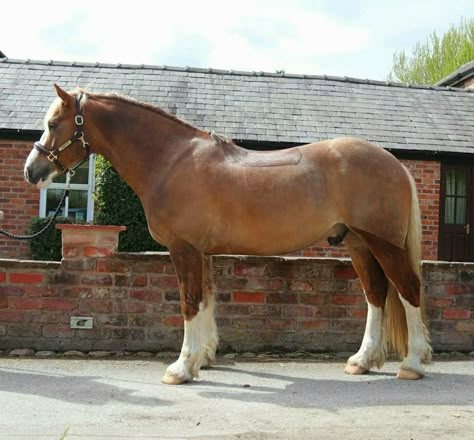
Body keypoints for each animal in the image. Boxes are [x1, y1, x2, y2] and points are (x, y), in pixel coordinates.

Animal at [25, 85, 434, 382]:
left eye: (54, 123)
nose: (32, 171)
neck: (171, 160)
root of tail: (394, 163)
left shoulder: (184, 249)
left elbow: (189, 302)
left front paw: (181, 367)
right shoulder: (201, 251)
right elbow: (205, 299)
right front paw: (202, 359)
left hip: (383, 243)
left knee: (408, 290)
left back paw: (412, 364)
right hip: (358, 244)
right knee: (377, 295)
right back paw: (362, 361)